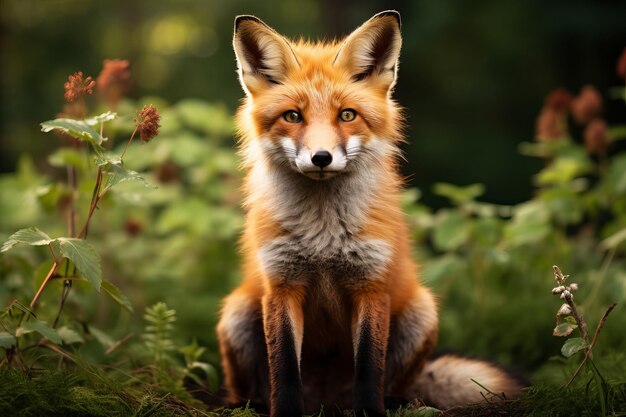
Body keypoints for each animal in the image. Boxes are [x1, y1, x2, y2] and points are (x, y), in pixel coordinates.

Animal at [214, 9, 520, 416]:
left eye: (347, 115)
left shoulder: (370, 286)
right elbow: (285, 368)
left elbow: (369, 367)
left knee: (396, 384)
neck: (323, 235)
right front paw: (287, 410)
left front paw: (371, 410)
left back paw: (396, 402)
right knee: (250, 389)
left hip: (421, 312)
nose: (321, 158)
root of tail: (326, 401)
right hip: (237, 313)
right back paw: (247, 404)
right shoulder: (282, 285)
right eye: (292, 116)